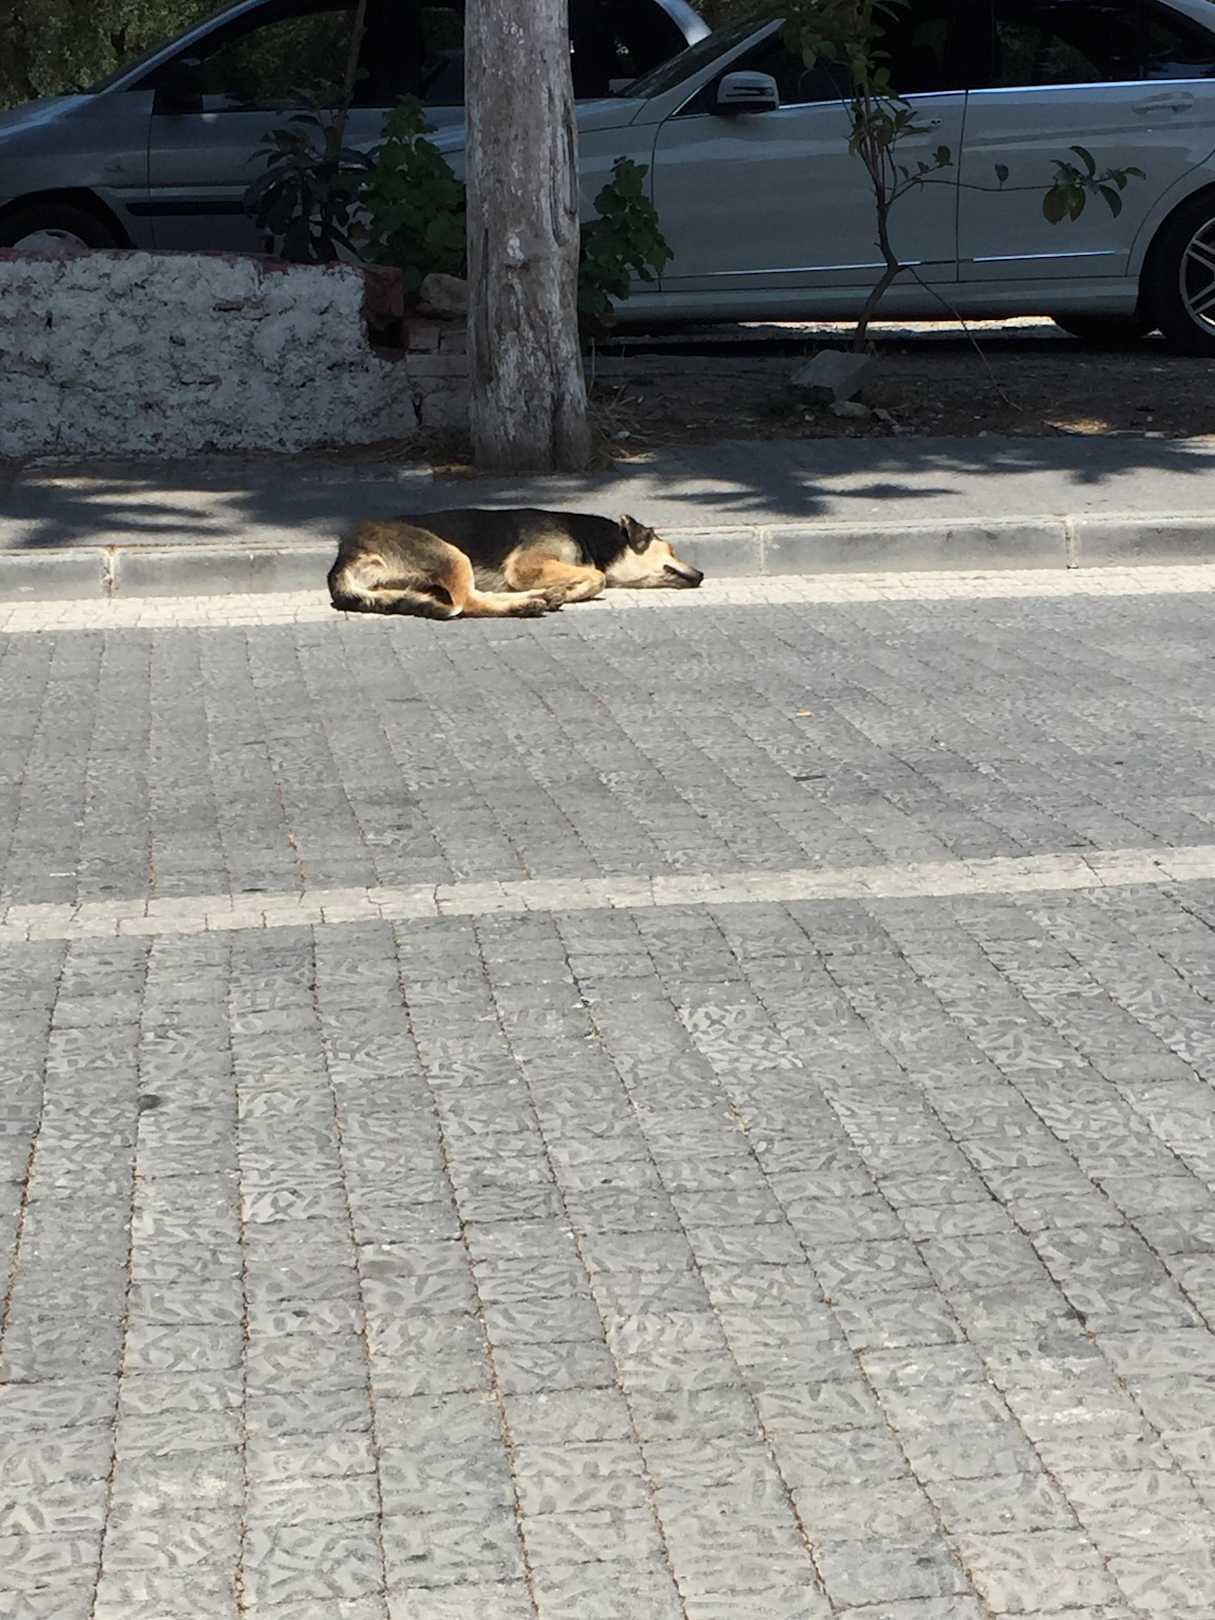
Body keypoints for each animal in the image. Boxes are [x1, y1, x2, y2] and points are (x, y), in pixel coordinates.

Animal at [327, 507, 704, 620]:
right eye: (671, 550)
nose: (701, 574)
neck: (595, 539)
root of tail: (346, 553)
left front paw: (564, 591)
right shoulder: (526, 566)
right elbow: (596, 575)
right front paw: (572, 590)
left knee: (473, 597)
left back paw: (537, 599)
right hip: (451, 553)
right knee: (468, 602)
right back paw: (529, 604)